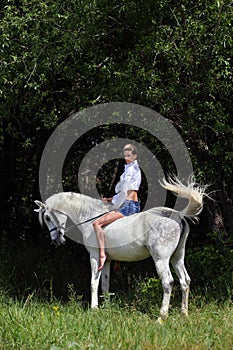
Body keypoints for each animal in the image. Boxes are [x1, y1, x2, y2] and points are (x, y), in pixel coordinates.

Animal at [34, 176, 208, 322]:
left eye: (47, 217)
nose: (56, 241)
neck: (90, 217)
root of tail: (178, 215)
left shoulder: (95, 257)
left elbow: (93, 283)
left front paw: (94, 309)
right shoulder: (107, 260)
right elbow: (104, 285)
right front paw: (106, 309)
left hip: (161, 260)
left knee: (168, 282)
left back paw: (161, 318)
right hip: (177, 258)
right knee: (185, 281)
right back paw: (184, 314)